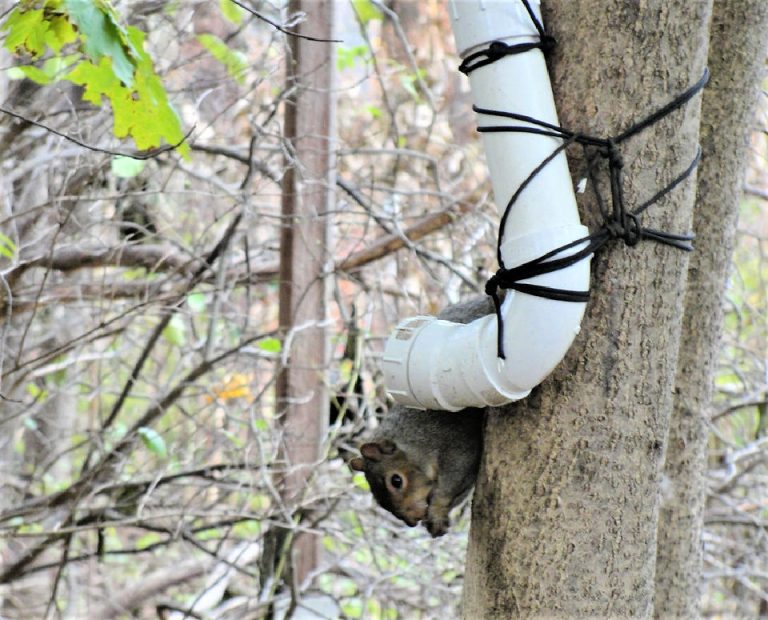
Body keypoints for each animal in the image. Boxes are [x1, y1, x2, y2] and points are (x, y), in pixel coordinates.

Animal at [349, 296, 494, 537]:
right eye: (377, 498)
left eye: (396, 480)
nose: (411, 520)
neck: (417, 440)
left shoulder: (459, 446)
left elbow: (451, 485)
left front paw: (437, 513)